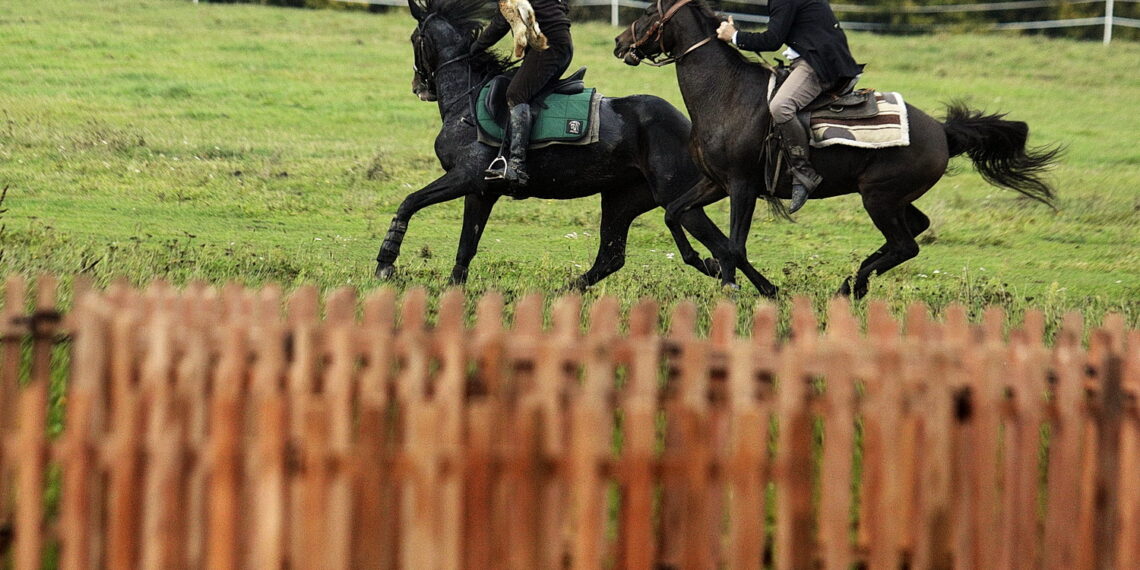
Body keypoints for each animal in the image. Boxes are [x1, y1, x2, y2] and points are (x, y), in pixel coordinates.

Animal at [373, 0, 775, 294]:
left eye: (414, 38)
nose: (419, 87)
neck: (466, 101)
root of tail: (688, 126)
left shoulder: (465, 178)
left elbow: (409, 203)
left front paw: (386, 262)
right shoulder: (481, 191)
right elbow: (466, 245)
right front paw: (453, 289)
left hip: (675, 196)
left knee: (723, 245)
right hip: (622, 200)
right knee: (612, 257)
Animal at [615, 0, 1057, 300]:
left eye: (649, 12)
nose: (620, 43)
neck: (726, 92)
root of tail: (942, 131)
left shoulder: (742, 187)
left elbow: (733, 246)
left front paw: (738, 287)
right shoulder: (714, 183)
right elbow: (675, 214)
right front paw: (705, 264)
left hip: (879, 198)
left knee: (906, 244)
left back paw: (851, 285)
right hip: (895, 198)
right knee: (915, 230)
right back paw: (855, 281)